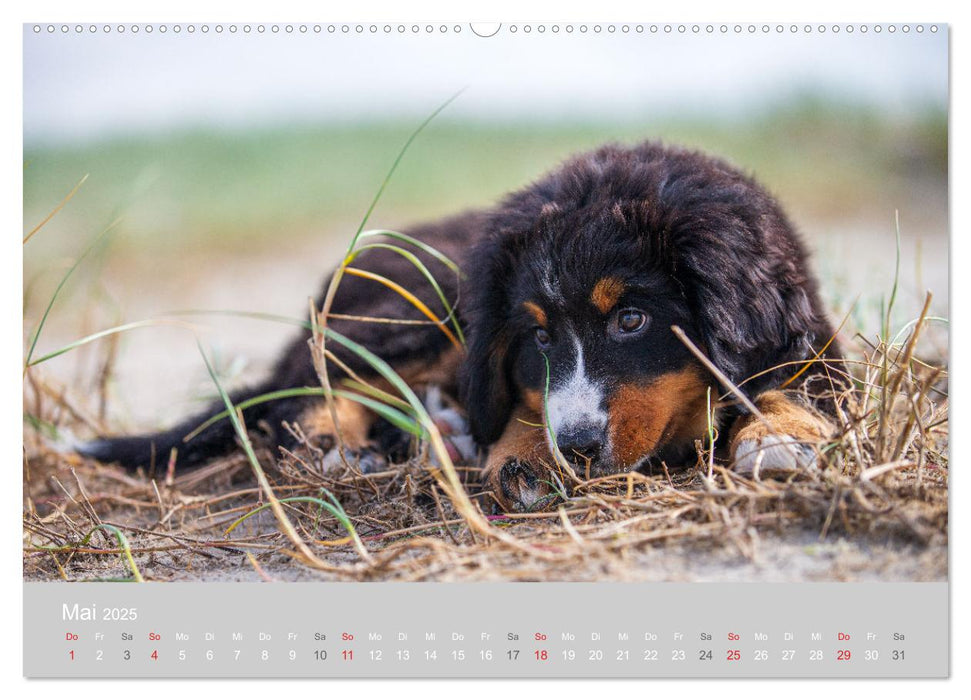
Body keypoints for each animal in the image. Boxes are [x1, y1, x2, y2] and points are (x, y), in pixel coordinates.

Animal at [79, 141, 848, 516]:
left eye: (631, 319)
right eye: (539, 338)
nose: (576, 447)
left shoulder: (814, 340)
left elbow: (793, 383)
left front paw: (778, 436)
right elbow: (516, 405)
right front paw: (529, 458)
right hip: (421, 303)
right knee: (307, 395)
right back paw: (346, 446)